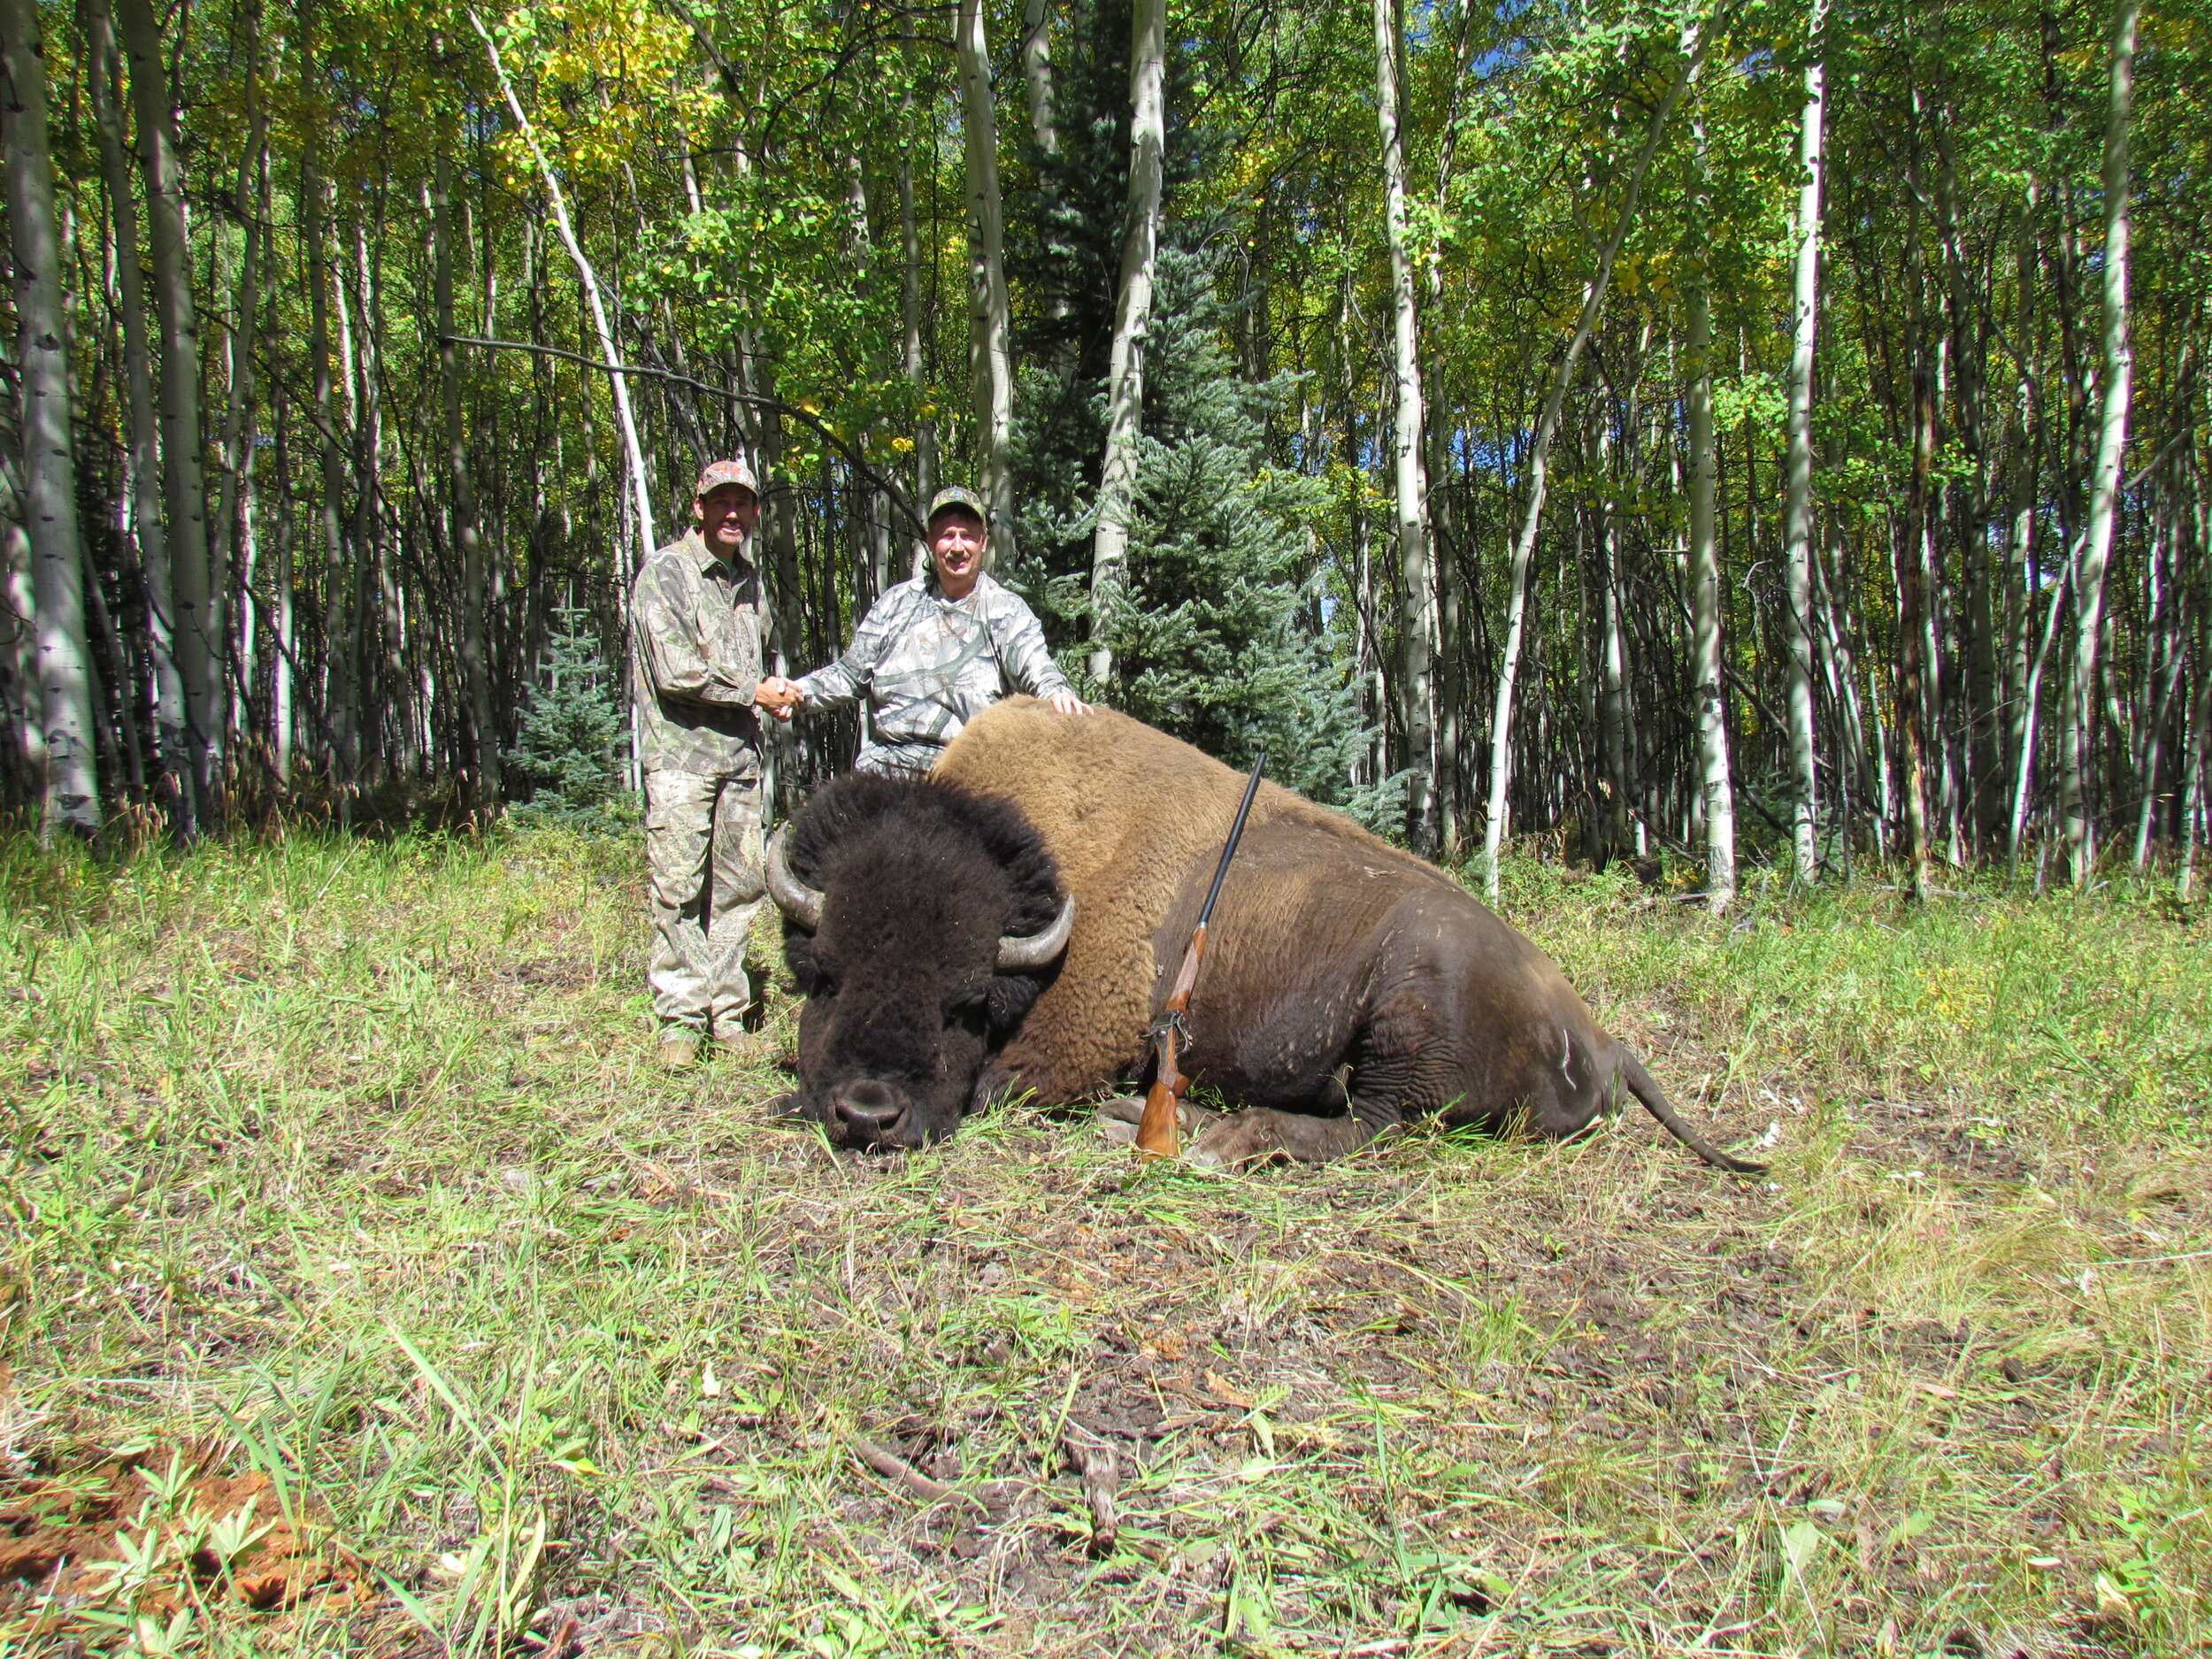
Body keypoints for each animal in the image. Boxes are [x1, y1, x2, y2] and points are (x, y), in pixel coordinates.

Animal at [774, 695, 1761, 1177]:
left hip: (1411, 1010)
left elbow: (999, 1089)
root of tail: (1605, 1039)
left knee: (1373, 1126)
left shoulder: (1066, 1042)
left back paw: (1219, 1139)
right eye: (826, 975)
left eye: (967, 1003)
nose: (868, 1115)